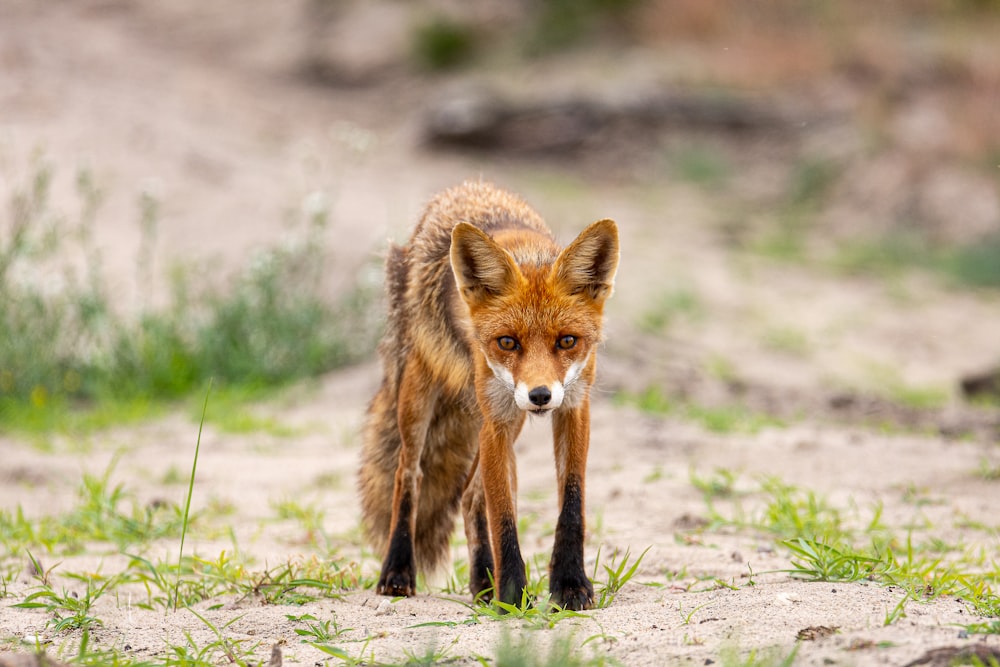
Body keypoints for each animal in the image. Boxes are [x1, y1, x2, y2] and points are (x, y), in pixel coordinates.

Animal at [356, 181, 620, 612]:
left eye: (567, 341)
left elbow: (571, 505)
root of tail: (462, 188)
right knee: (408, 475)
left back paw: (482, 581)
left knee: (468, 496)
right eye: (507, 342)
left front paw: (568, 585)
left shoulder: (574, 407)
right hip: (420, 396)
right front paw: (512, 595)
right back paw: (397, 570)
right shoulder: (496, 421)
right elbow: (503, 517)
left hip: (509, 417)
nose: (540, 395)